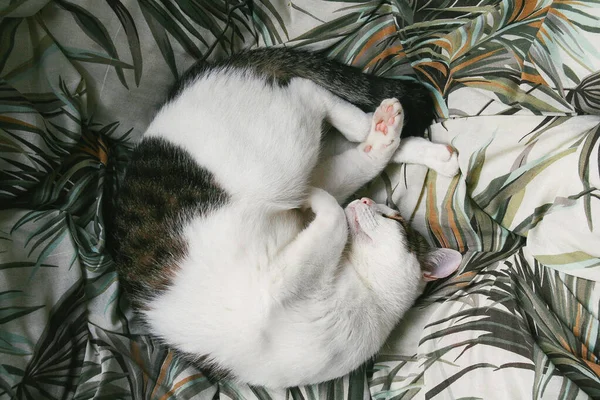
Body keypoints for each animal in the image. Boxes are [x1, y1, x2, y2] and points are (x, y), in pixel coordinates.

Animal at [109, 47, 464, 388]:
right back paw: (386, 124)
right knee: (308, 94)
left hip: (284, 157)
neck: (364, 289)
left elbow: (336, 206)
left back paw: (404, 137)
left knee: (314, 103)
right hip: (282, 164)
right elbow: (335, 202)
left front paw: (319, 197)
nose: (365, 200)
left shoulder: (279, 278)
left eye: (393, 217)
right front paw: (318, 196)